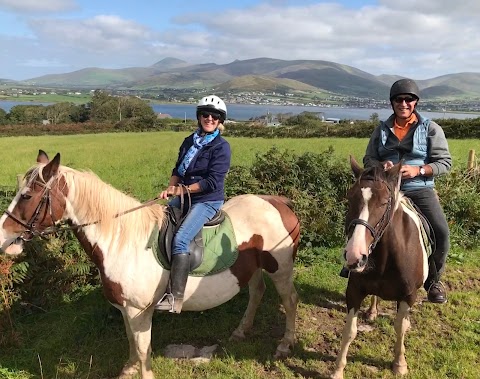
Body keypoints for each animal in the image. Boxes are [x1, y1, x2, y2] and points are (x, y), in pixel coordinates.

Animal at [0, 151, 300, 379]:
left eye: (26, 196)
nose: (3, 237)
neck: (121, 241)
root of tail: (277, 201)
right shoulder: (126, 309)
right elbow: (132, 342)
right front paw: (128, 369)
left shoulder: (139, 311)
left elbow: (144, 348)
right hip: (255, 268)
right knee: (257, 293)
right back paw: (241, 331)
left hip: (281, 269)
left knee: (290, 300)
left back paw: (284, 345)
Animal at [332, 157, 430, 379]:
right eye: (350, 198)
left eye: (385, 202)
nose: (354, 256)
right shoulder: (354, 292)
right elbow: (349, 331)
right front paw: (338, 369)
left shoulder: (408, 296)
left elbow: (400, 327)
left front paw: (400, 364)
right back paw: (372, 311)